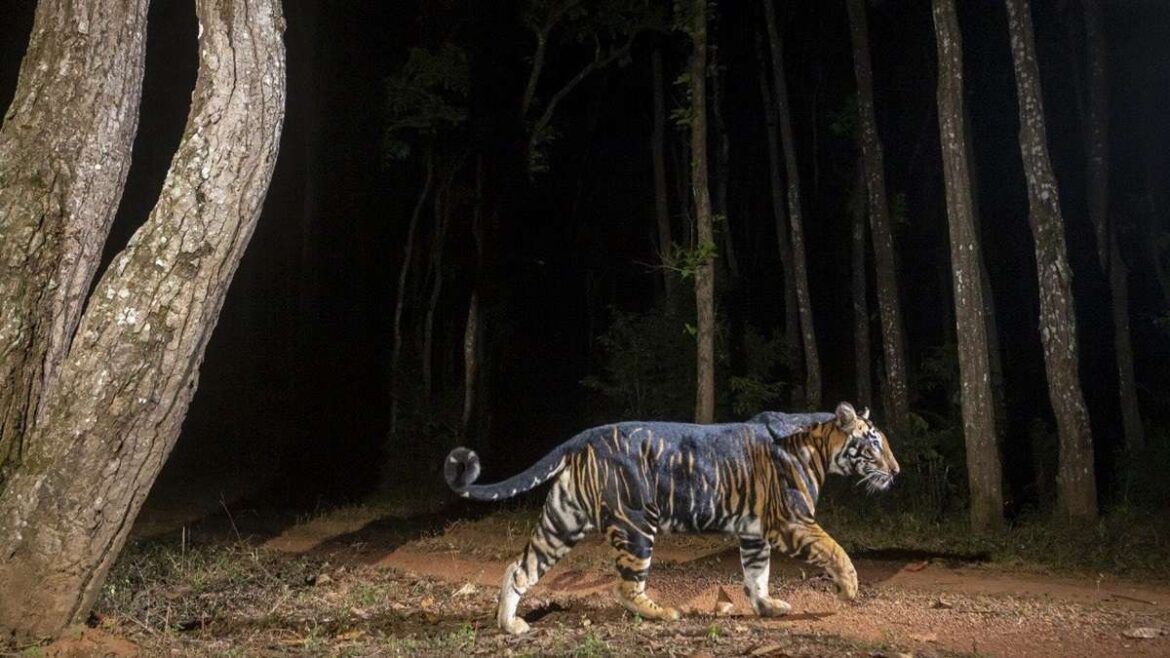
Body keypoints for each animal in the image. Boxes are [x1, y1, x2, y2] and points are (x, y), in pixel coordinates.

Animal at [443, 401, 898, 634]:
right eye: (875, 443)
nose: (895, 471)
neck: (821, 446)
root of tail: (585, 435)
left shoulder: (754, 532)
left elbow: (757, 574)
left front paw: (767, 607)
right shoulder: (791, 520)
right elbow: (835, 550)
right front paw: (848, 589)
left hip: (562, 520)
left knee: (520, 568)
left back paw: (510, 625)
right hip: (635, 525)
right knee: (626, 588)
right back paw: (663, 613)